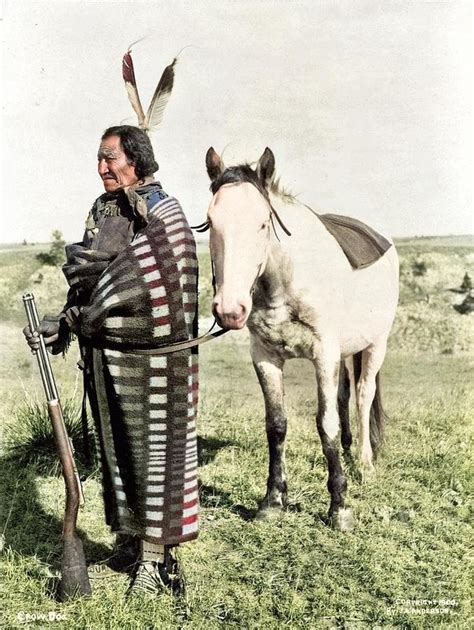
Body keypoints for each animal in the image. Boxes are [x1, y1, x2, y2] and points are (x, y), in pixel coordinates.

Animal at [205, 147, 400, 528]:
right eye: (210, 221)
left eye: (263, 223)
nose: (229, 309)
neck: (285, 282)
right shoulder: (265, 356)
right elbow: (277, 426)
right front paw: (272, 501)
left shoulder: (324, 354)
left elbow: (326, 424)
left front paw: (339, 507)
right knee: (344, 396)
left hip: (376, 345)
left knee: (363, 395)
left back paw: (364, 463)